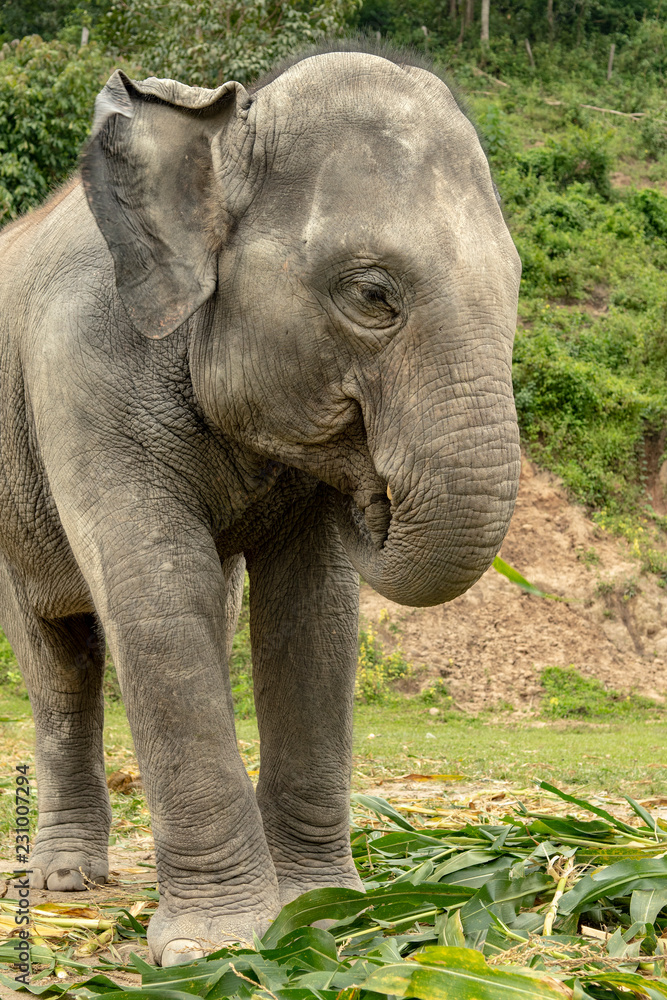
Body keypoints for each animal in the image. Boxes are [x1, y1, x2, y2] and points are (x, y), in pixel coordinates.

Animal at [0, 43, 521, 966]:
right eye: (373, 294)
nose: (376, 496)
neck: (226, 128)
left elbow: (310, 613)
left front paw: (324, 915)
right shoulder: (83, 371)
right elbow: (158, 596)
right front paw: (214, 949)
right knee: (56, 657)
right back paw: (64, 884)